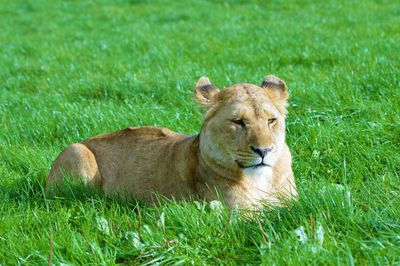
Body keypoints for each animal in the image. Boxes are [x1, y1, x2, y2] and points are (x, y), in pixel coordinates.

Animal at [47, 75, 296, 208]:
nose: (264, 150)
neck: (262, 180)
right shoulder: (236, 214)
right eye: (238, 122)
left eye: (271, 120)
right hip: (77, 151)